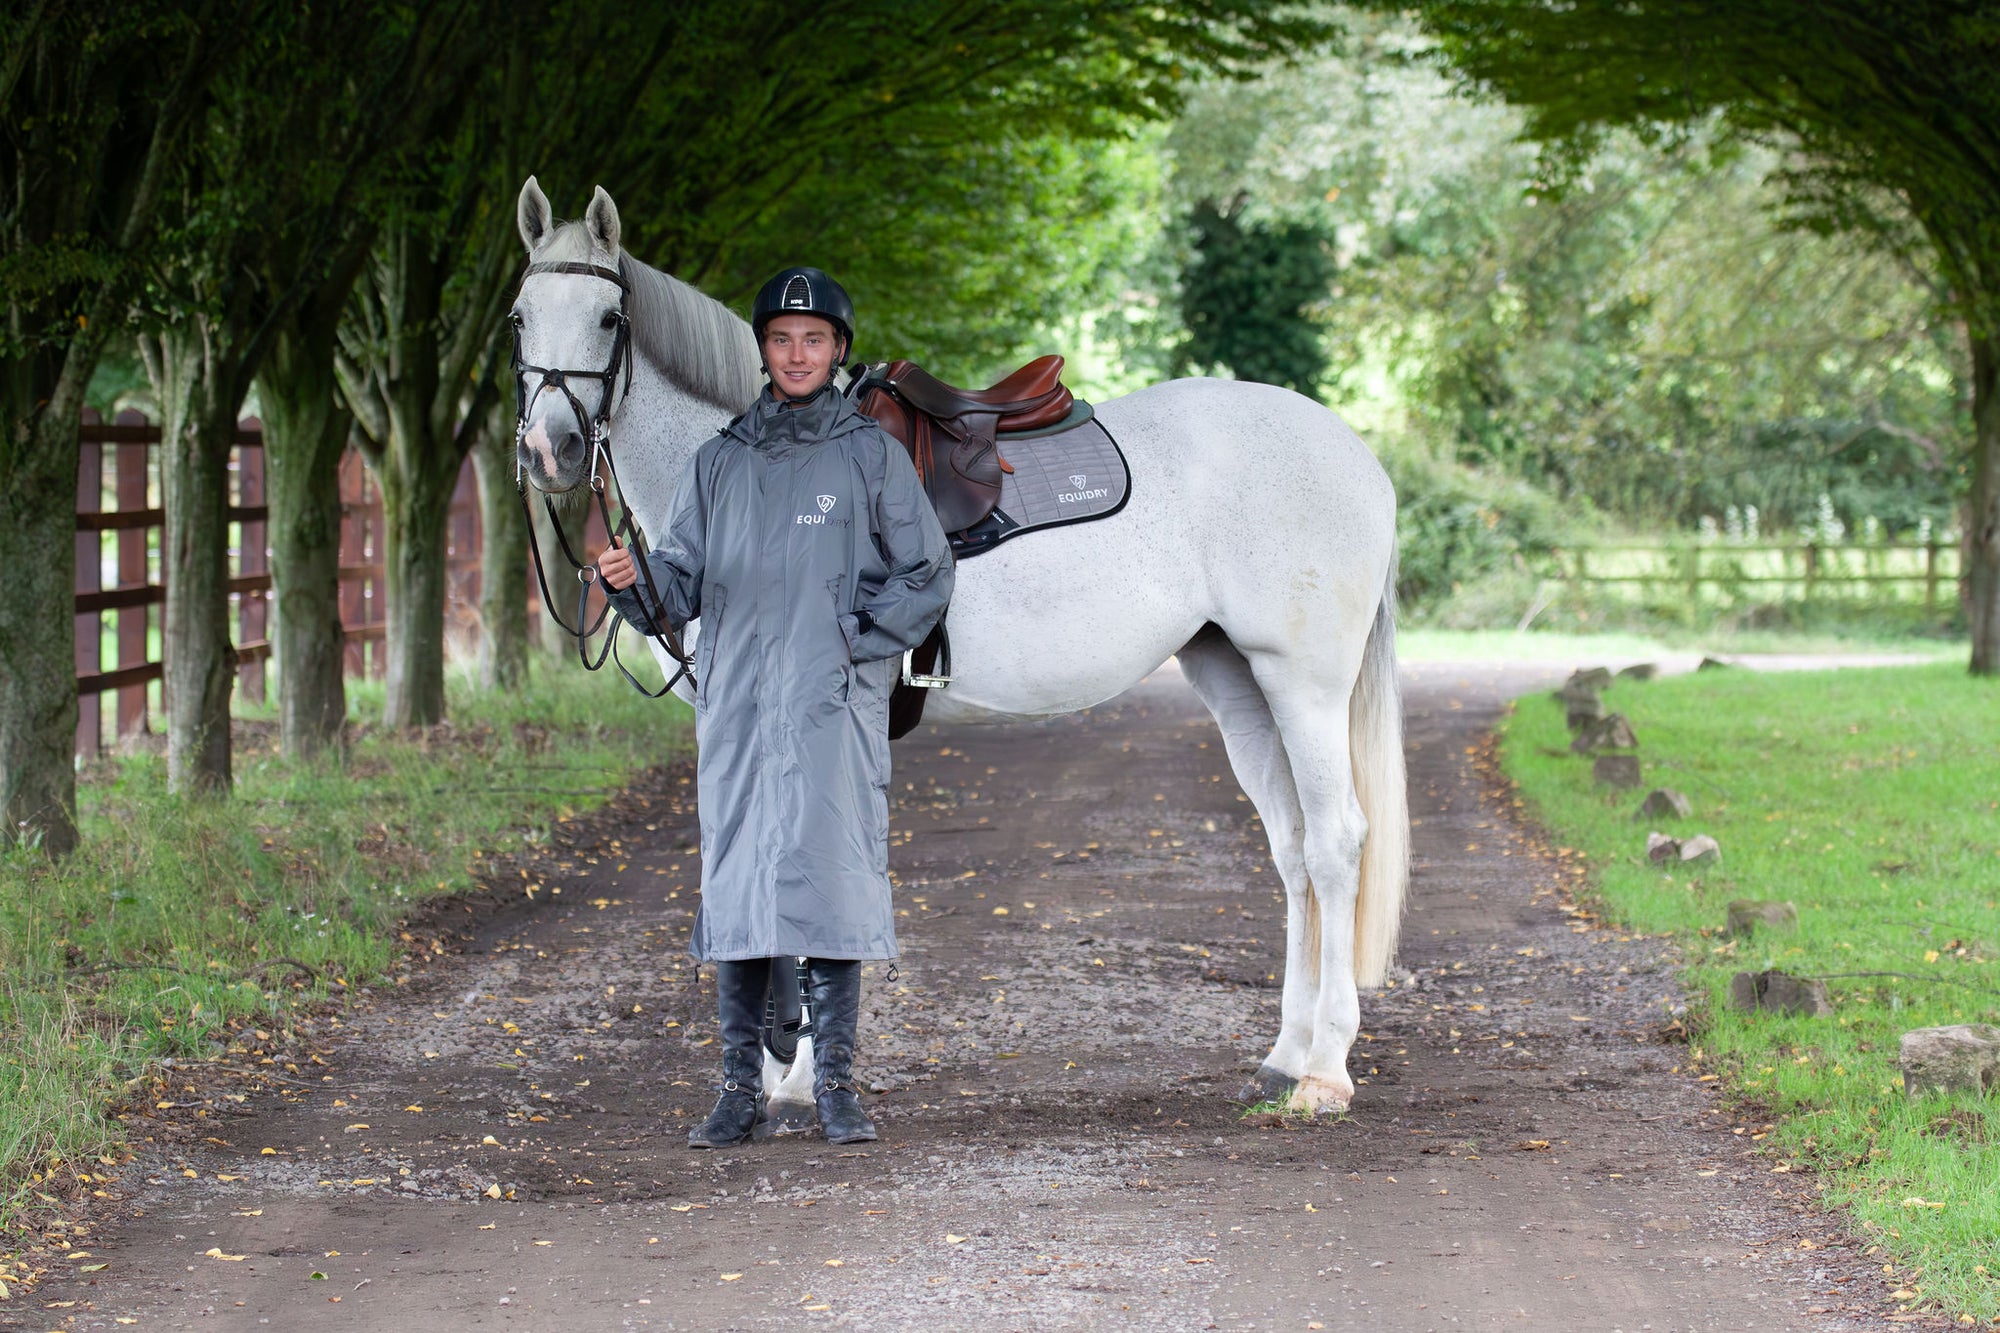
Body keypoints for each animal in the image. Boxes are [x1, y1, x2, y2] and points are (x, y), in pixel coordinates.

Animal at [516, 176, 1408, 1112]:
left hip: (1303, 684)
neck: (776, 475)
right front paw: (767, 1067)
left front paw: (796, 1072)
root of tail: (1359, 457)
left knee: (1336, 842)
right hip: (1238, 679)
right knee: (1294, 848)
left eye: (608, 319)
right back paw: (1287, 1051)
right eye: (518, 317)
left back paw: (1326, 1068)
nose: (549, 448)